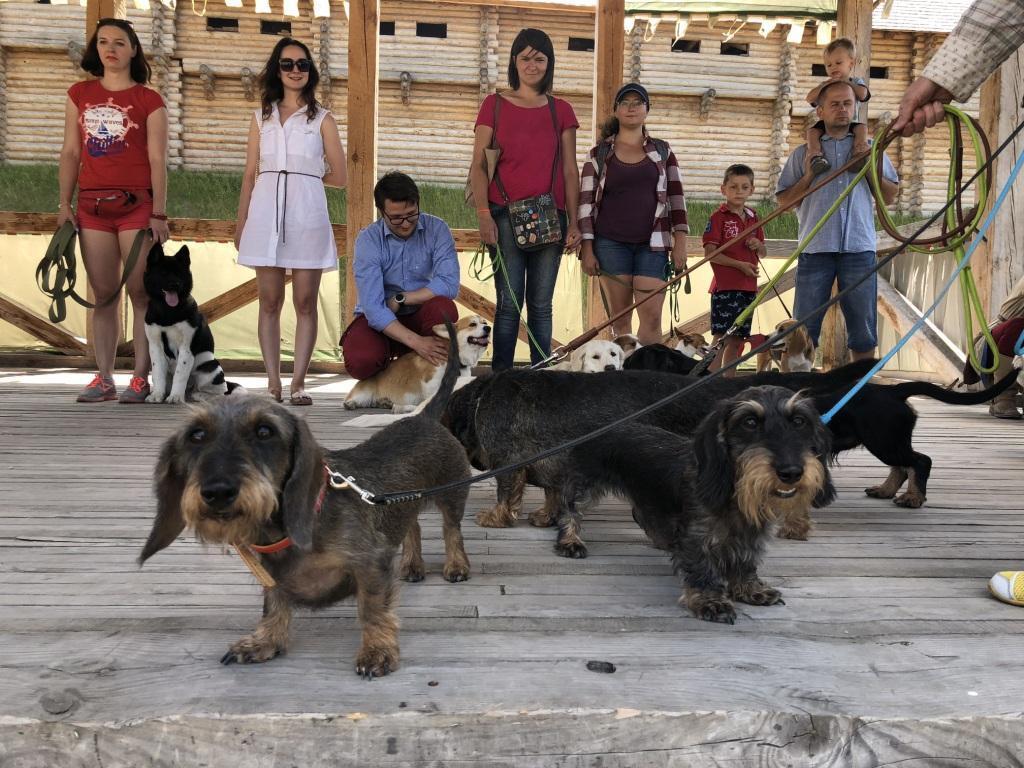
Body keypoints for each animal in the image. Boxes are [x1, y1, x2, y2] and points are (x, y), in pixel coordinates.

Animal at [142, 244, 234, 403]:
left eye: (179, 274)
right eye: (163, 273)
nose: (175, 284)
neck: (168, 311)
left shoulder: (186, 349)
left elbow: (180, 375)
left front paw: (175, 397)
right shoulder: (155, 347)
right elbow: (157, 373)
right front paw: (157, 395)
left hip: (211, 366)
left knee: (221, 391)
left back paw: (200, 395)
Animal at [561, 391, 831, 626]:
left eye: (800, 421)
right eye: (750, 422)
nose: (791, 472)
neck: (735, 492)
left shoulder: (751, 535)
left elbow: (746, 562)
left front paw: (751, 590)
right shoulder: (696, 537)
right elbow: (702, 568)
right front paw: (711, 602)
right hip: (586, 486)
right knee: (569, 509)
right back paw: (570, 541)